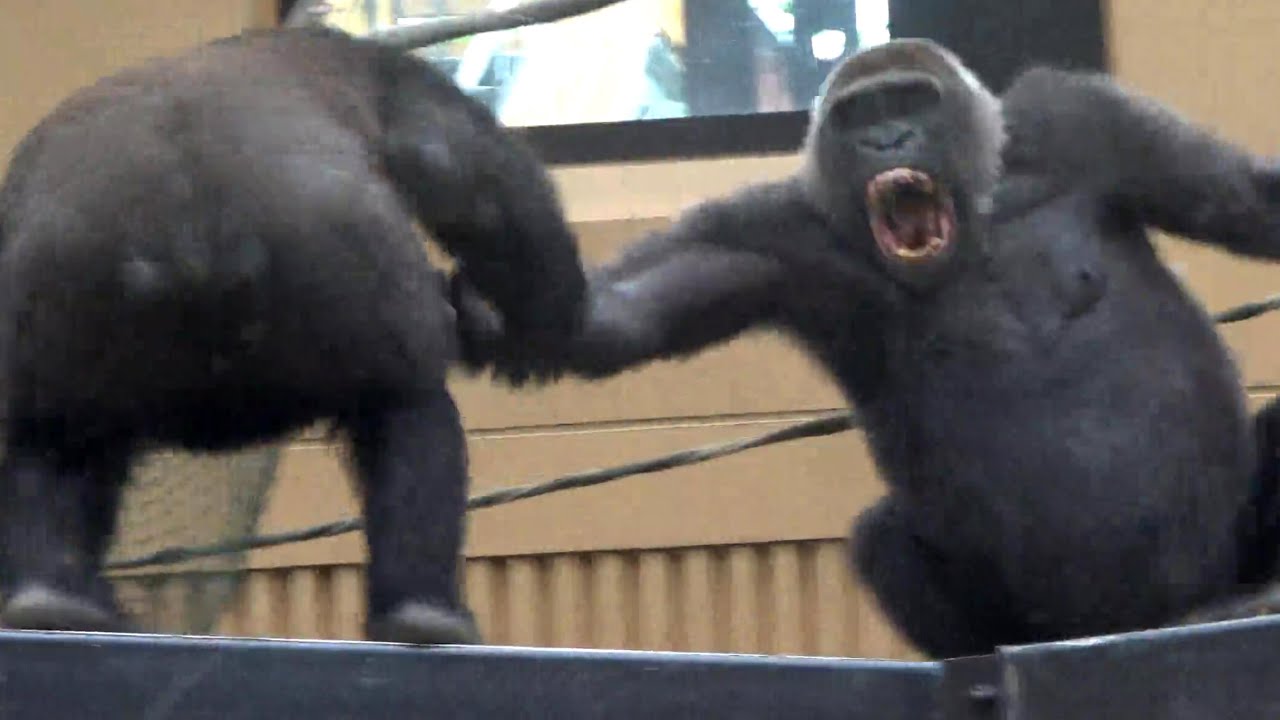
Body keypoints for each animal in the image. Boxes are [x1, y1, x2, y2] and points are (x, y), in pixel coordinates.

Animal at [0, 24, 587, 644]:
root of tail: (186, 237)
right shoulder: (377, 70)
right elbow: (465, 173)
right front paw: (553, 310)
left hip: (68, 295)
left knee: (57, 440)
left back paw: (50, 597)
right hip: (336, 270)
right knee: (408, 406)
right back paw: (423, 608)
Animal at [451, 38, 1280, 658]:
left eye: (911, 102)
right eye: (859, 117)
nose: (888, 141)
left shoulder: (1083, 120)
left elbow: (1248, 200)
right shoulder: (768, 233)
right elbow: (618, 316)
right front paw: (497, 303)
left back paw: (1247, 599)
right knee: (882, 536)